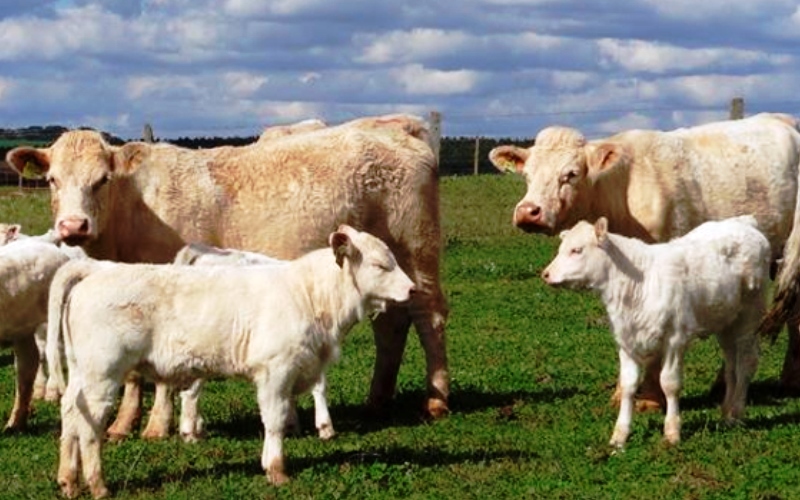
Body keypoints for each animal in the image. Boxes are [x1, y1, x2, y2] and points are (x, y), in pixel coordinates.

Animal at [59, 228, 416, 500]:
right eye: (381, 265)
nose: (413, 289)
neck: (310, 295)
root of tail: (97, 271)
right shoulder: (275, 371)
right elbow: (274, 420)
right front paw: (277, 470)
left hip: (81, 373)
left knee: (70, 414)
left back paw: (68, 480)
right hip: (102, 375)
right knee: (89, 427)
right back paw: (98, 485)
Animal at [488, 114, 800, 410]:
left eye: (571, 174)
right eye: (527, 176)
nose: (528, 212)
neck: (620, 193)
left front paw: (649, 399)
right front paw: (620, 394)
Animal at [540, 217, 772, 448]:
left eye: (576, 250)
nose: (546, 274)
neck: (638, 284)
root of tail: (745, 222)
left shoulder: (675, 339)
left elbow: (669, 384)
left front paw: (672, 431)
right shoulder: (626, 341)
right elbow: (628, 386)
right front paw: (620, 435)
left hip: (749, 317)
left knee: (746, 363)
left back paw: (736, 413)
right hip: (726, 323)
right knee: (731, 365)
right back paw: (726, 412)